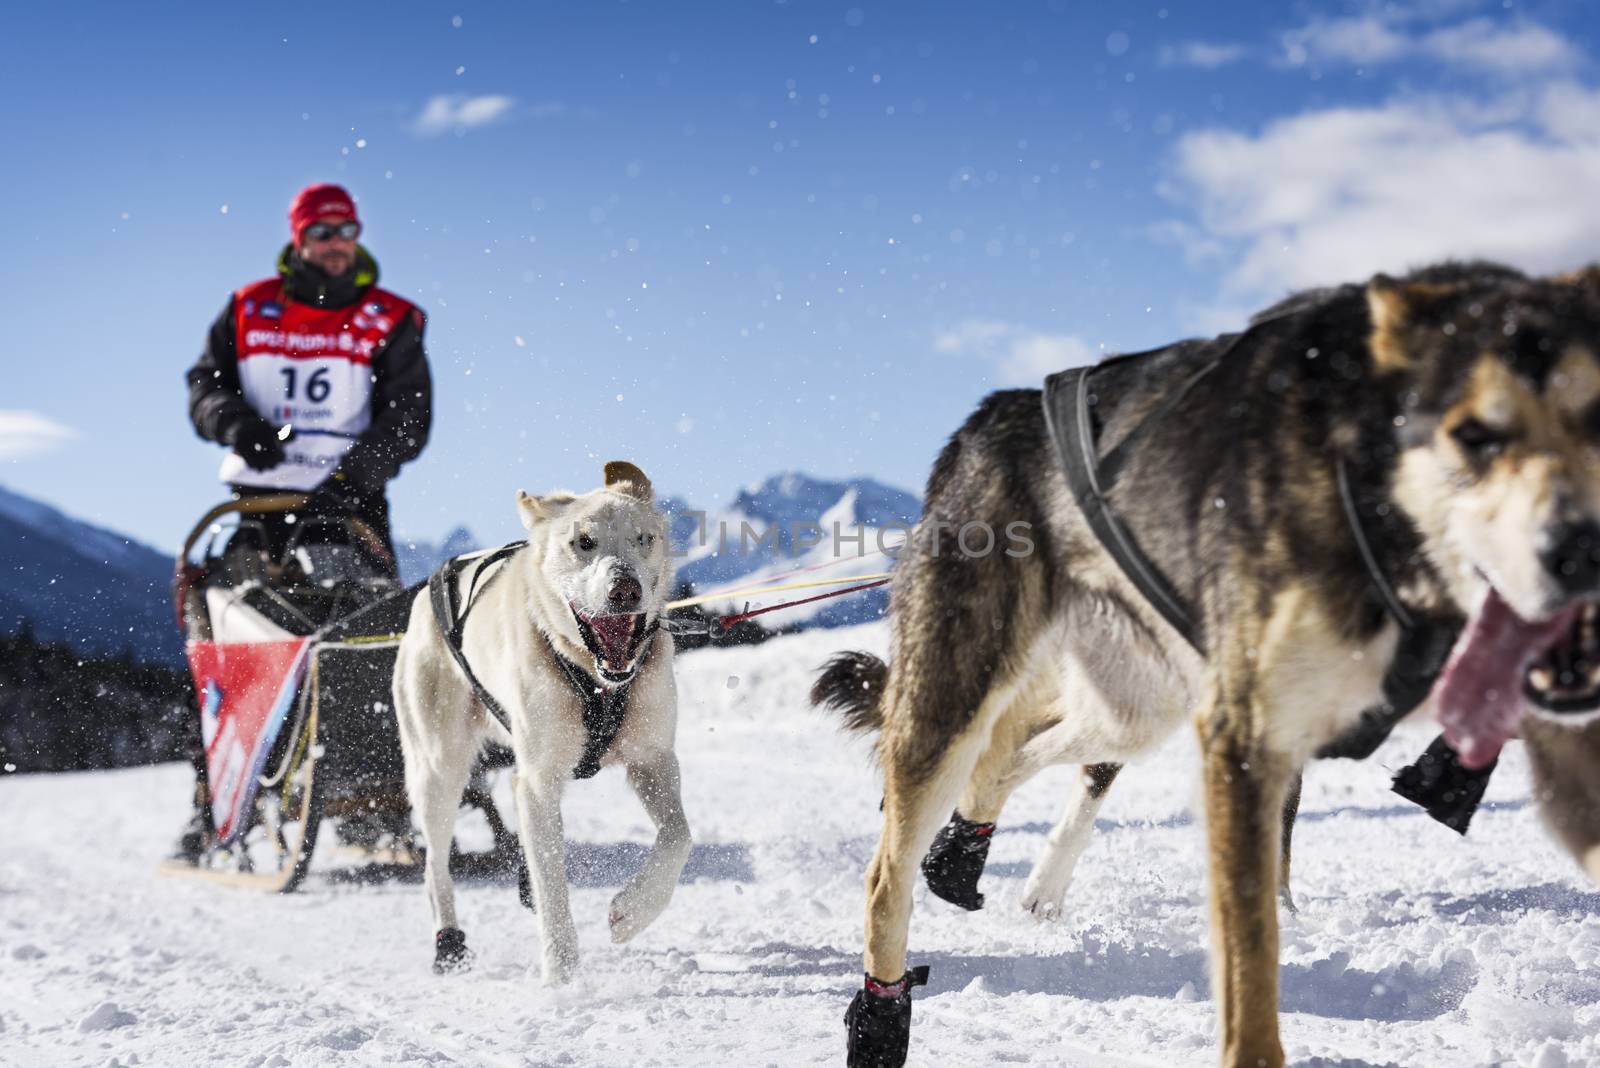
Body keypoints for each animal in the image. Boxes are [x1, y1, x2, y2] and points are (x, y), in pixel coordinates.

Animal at [393, 463, 688, 978]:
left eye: (643, 538)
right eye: (584, 542)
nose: (625, 589)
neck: (596, 680)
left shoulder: (653, 760)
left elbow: (679, 838)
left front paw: (634, 911)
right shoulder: (537, 782)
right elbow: (552, 881)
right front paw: (562, 970)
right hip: (438, 769)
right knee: (435, 865)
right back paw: (448, 944)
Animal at [819, 260, 1600, 1068]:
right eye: (1475, 435)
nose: (1580, 553)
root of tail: (983, 419)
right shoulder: (1247, 737)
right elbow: (1251, 949)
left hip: (1136, 703)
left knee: (1014, 756)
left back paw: (966, 861)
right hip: (962, 697)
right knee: (890, 872)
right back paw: (882, 1014)